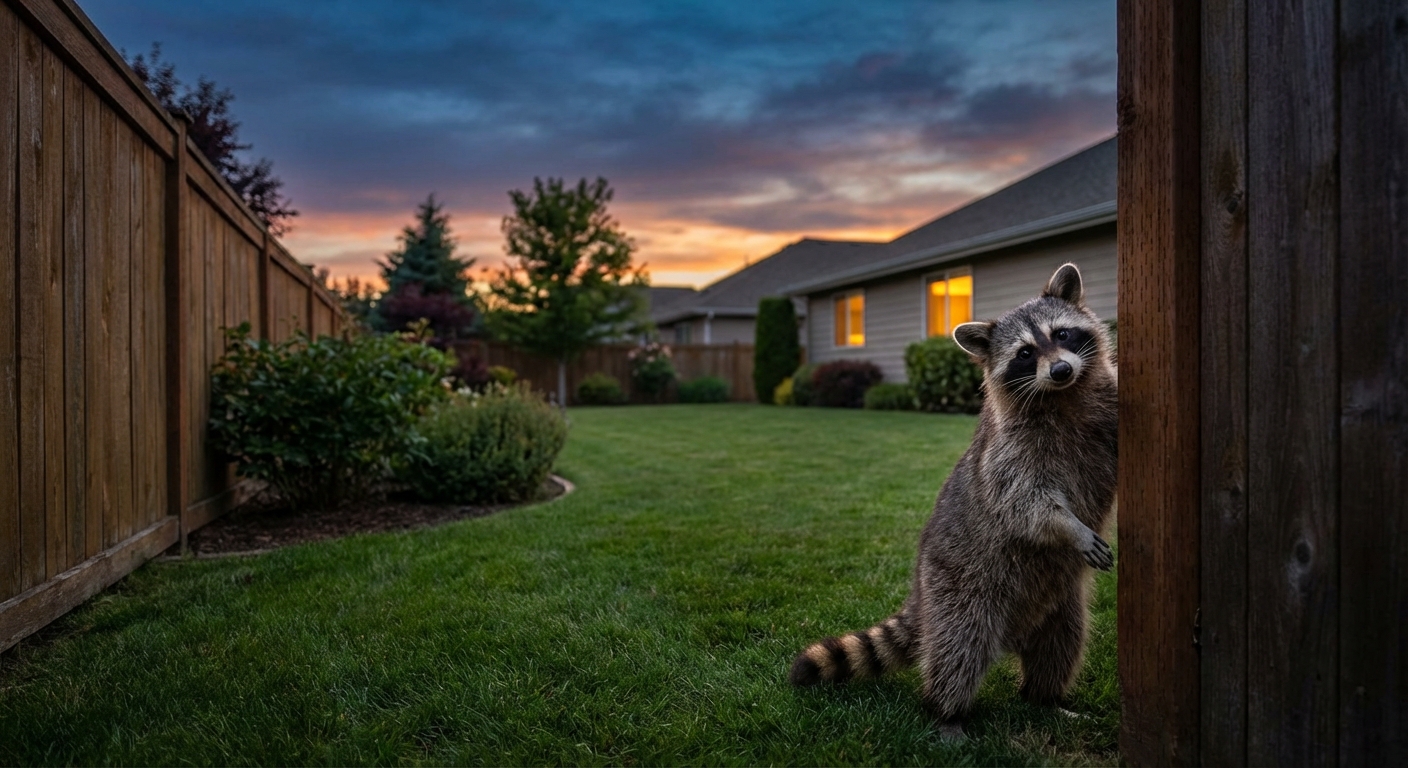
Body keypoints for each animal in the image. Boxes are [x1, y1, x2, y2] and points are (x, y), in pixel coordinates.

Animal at [788, 262, 1118, 731]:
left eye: (1063, 334)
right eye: (1024, 354)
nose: (1060, 370)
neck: (1062, 395)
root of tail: (920, 593)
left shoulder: (1103, 410)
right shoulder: (1009, 450)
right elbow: (1025, 501)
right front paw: (1069, 528)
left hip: (1060, 602)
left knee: (1062, 642)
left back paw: (1044, 698)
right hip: (959, 584)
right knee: (960, 647)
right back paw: (946, 713)